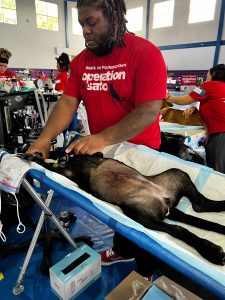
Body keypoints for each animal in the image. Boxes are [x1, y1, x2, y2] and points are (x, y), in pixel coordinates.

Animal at [24, 152, 225, 264]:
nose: (63, 157)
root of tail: (165, 199)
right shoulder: (69, 173)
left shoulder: (72, 170)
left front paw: (35, 157)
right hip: (138, 211)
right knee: (185, 221)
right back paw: (211, 250)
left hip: (173, 178)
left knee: (197, 208)